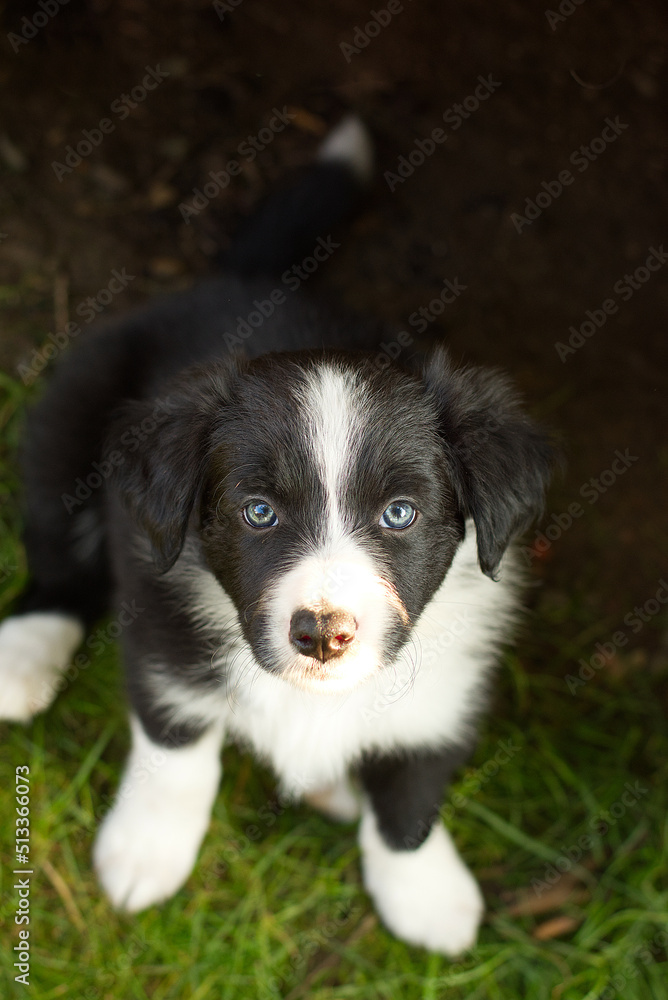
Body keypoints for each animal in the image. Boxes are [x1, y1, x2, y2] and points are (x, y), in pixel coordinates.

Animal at [0, 117, 552, 952]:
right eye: (258, 511)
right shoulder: (161, 618)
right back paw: (24, 653)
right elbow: (176, 743)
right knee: (58, 554)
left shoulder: (450, 683)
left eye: (400, 513)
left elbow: (413, 788)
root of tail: (241, 281)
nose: (322, 634)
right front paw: (144, 852)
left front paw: (425, 893)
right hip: (71, 415)